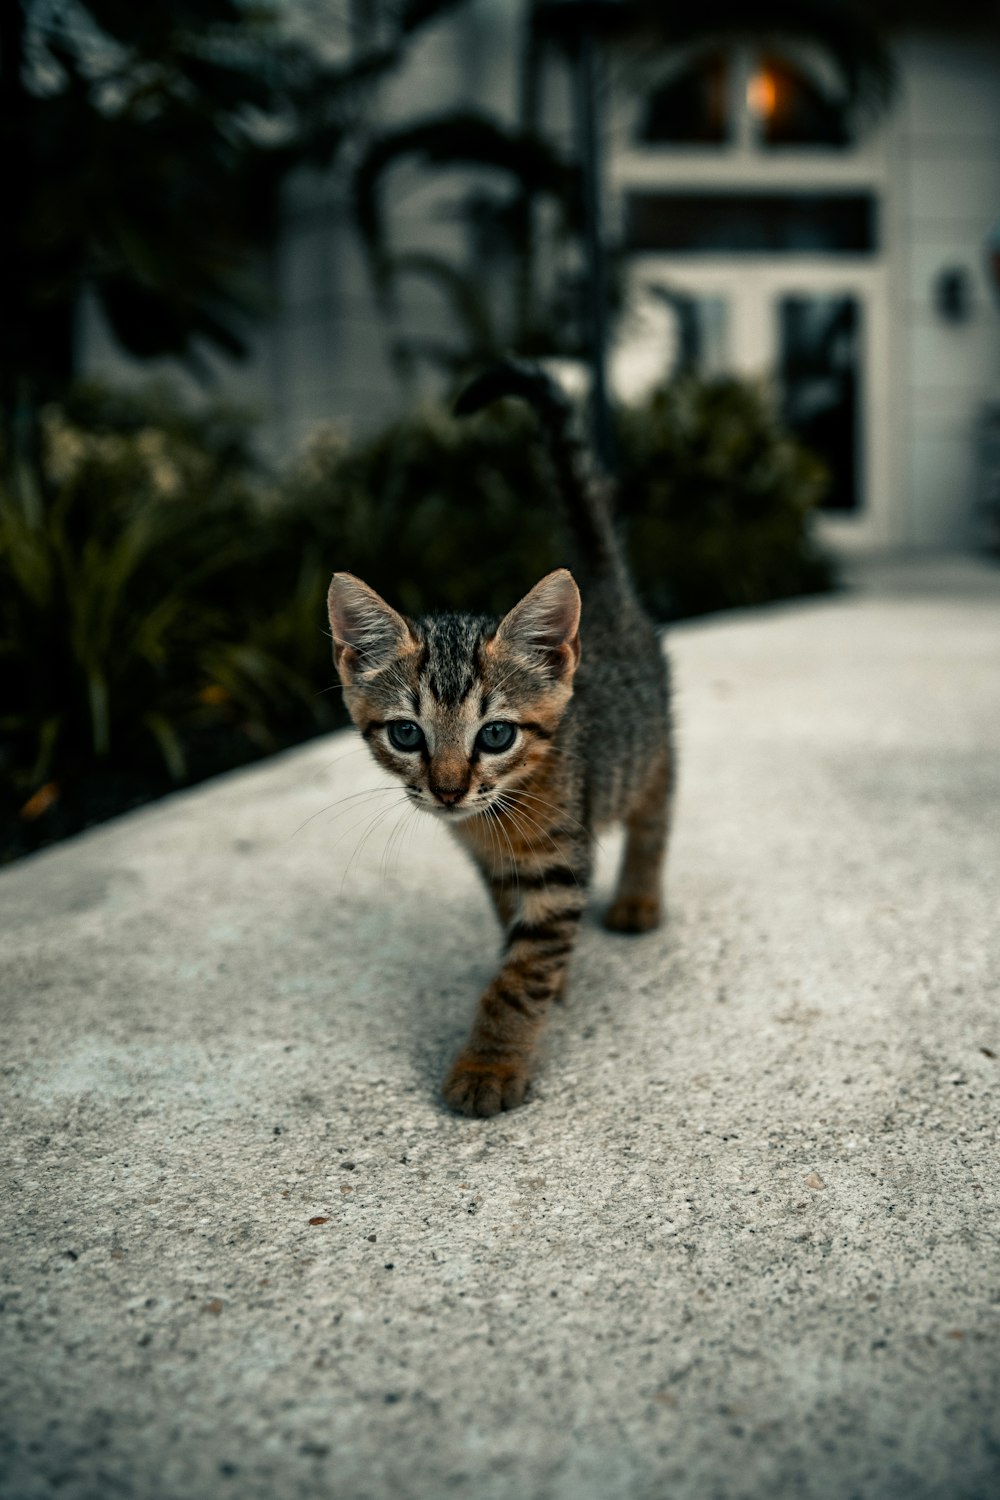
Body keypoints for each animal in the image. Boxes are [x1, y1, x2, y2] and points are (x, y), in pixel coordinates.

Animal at [328, 363, 671, 1116]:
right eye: (406, 733)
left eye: (495, 735)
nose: (449, 789)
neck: (497, 815)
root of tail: (607, 593)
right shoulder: (493, 867)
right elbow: (513, 934)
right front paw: (545, 983)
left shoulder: (561, 864)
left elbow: (519, 978)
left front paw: (489, 1064)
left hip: (654, 752)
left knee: (654, 818)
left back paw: (638, 897)